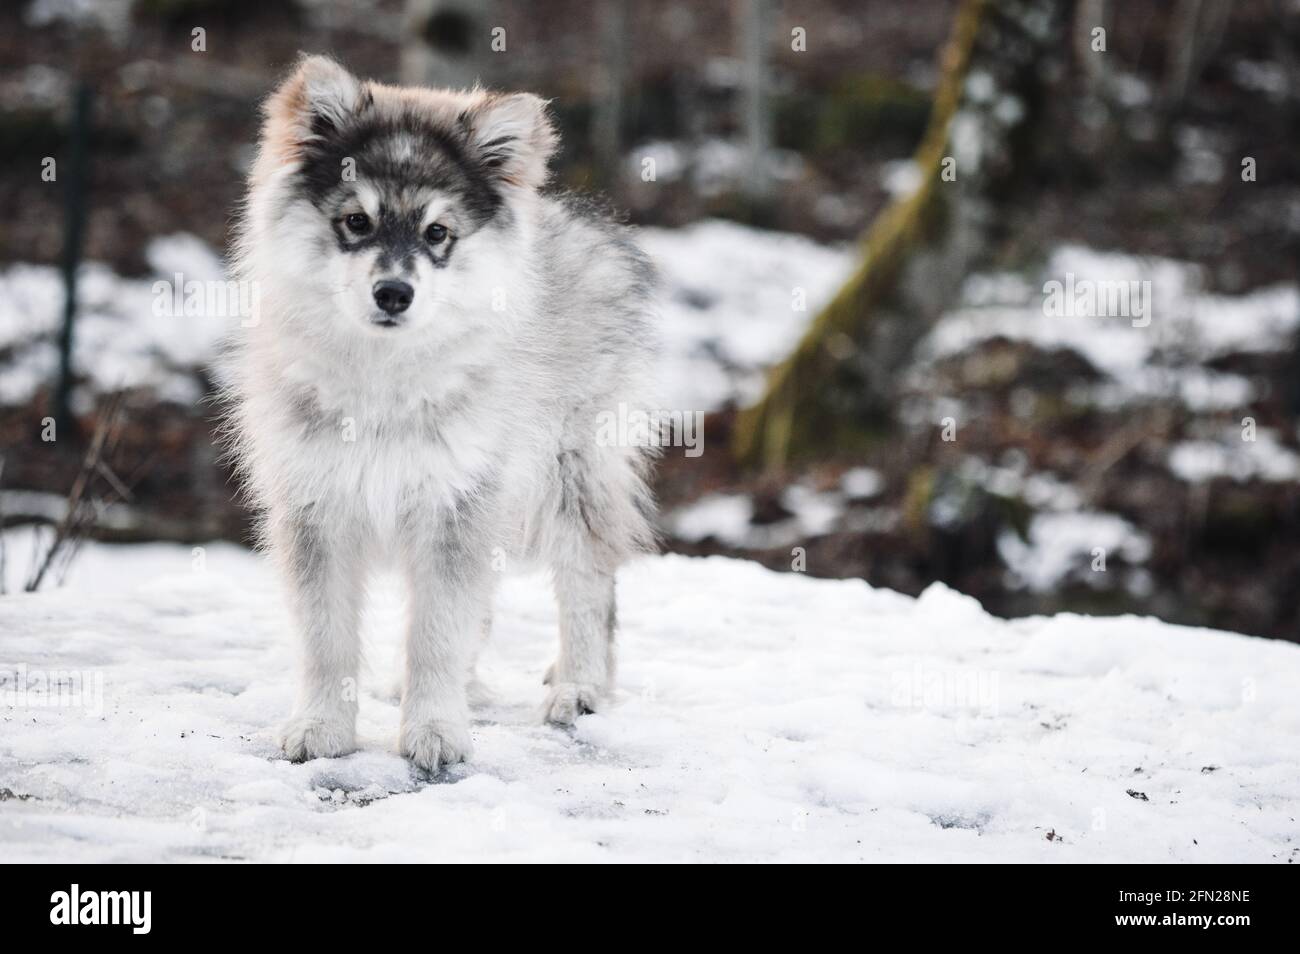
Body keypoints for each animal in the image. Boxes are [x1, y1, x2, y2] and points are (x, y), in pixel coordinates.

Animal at [226, 55, 660, 774]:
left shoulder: (453, 502)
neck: (383, 375)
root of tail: (582, 224)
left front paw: (434, 728)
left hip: (567, 472)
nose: (393, 293)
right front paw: (323, 727)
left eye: (437, 233)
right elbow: (327, 639)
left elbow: (435, 631)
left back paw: (580, 686)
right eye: (357, 221)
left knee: (588, 581)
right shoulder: (318, 506)